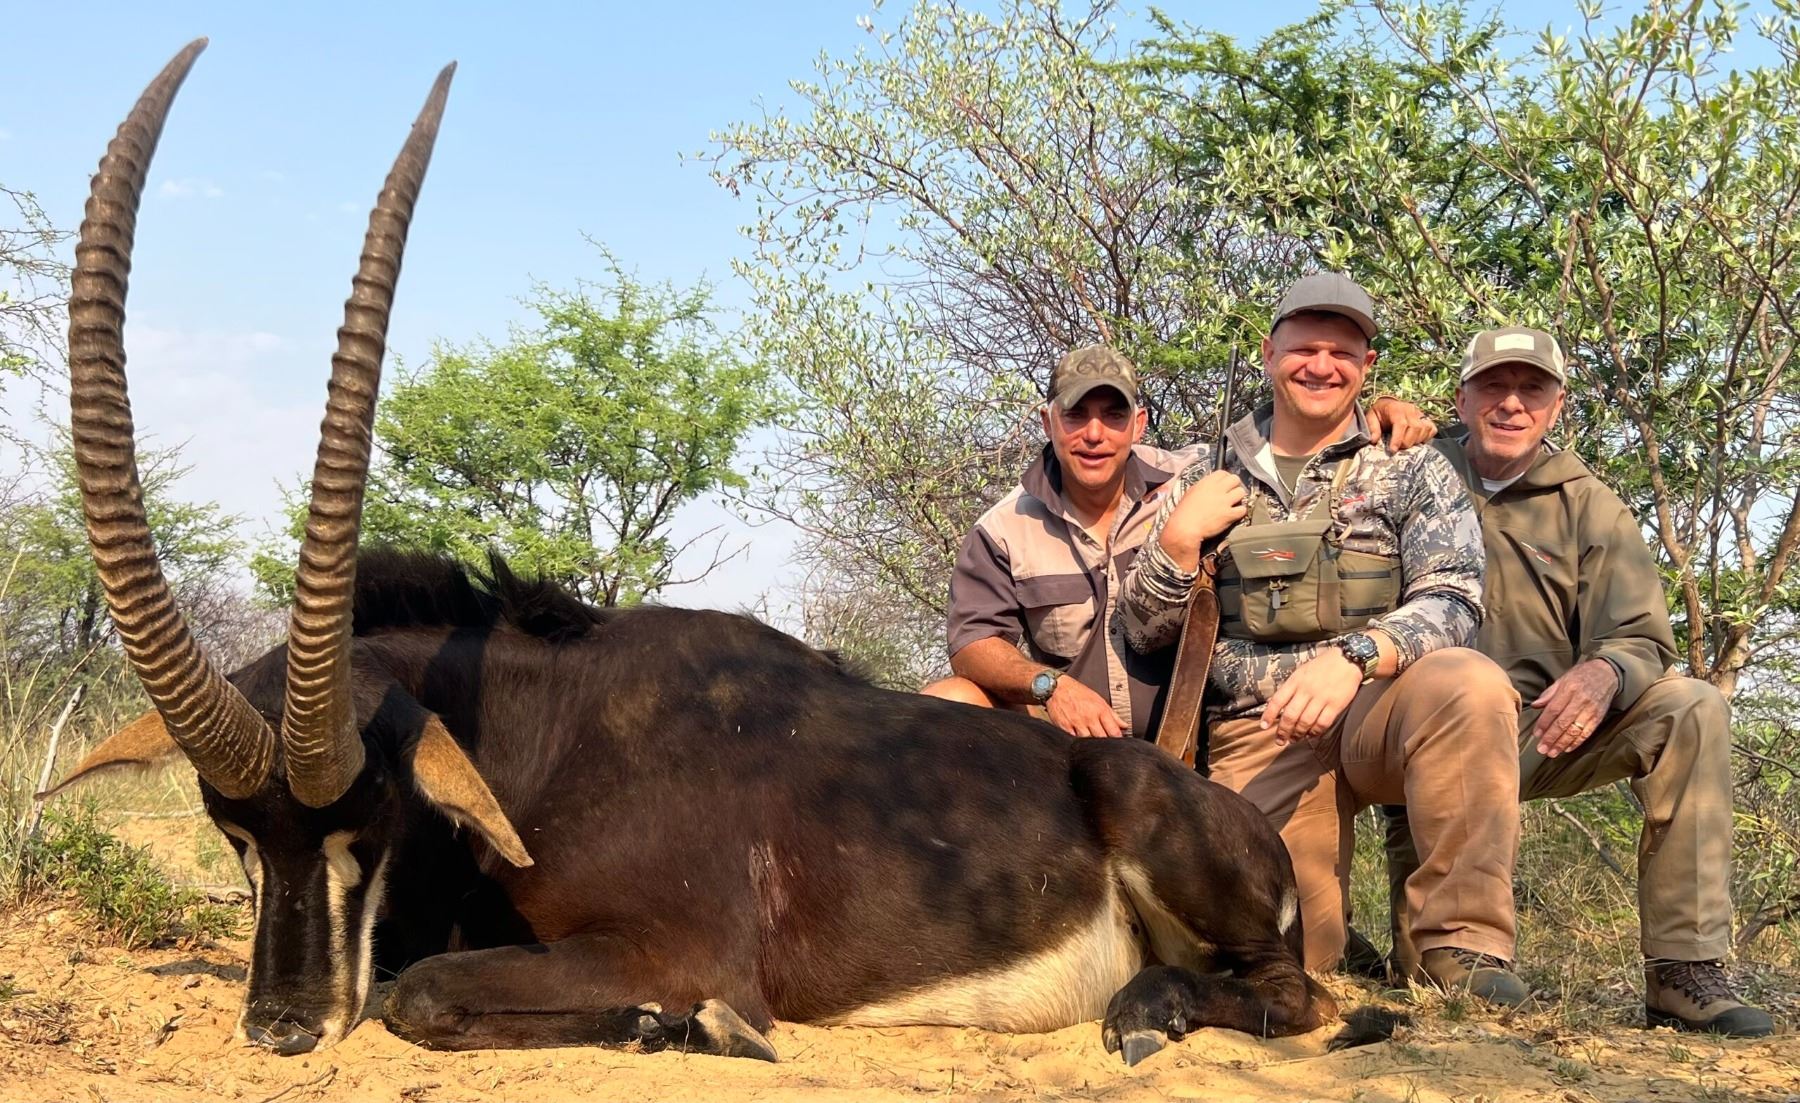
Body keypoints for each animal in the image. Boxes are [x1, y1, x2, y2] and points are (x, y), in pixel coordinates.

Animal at [45, 40, 1337, 1067]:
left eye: (369, 811)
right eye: (233, 830)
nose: (283, 1025)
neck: (545, 734)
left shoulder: (680, 940)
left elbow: (422, 991)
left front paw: (692, 1023)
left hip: (1158, 825)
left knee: (1299, 991)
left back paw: (1149, 1006)